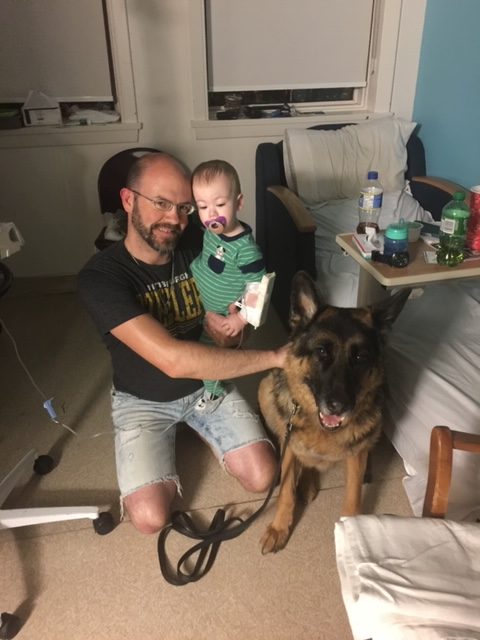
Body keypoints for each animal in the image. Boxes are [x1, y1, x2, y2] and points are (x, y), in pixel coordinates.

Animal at [259, 271, 411, 554]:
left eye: (360, 357)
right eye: (321, 352)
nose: (337, 406)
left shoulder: (355, 458)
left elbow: (352, 497)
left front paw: (352, 534)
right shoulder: (290, 447)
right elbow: (285, 491)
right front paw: (279, 528)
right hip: (265, 390)